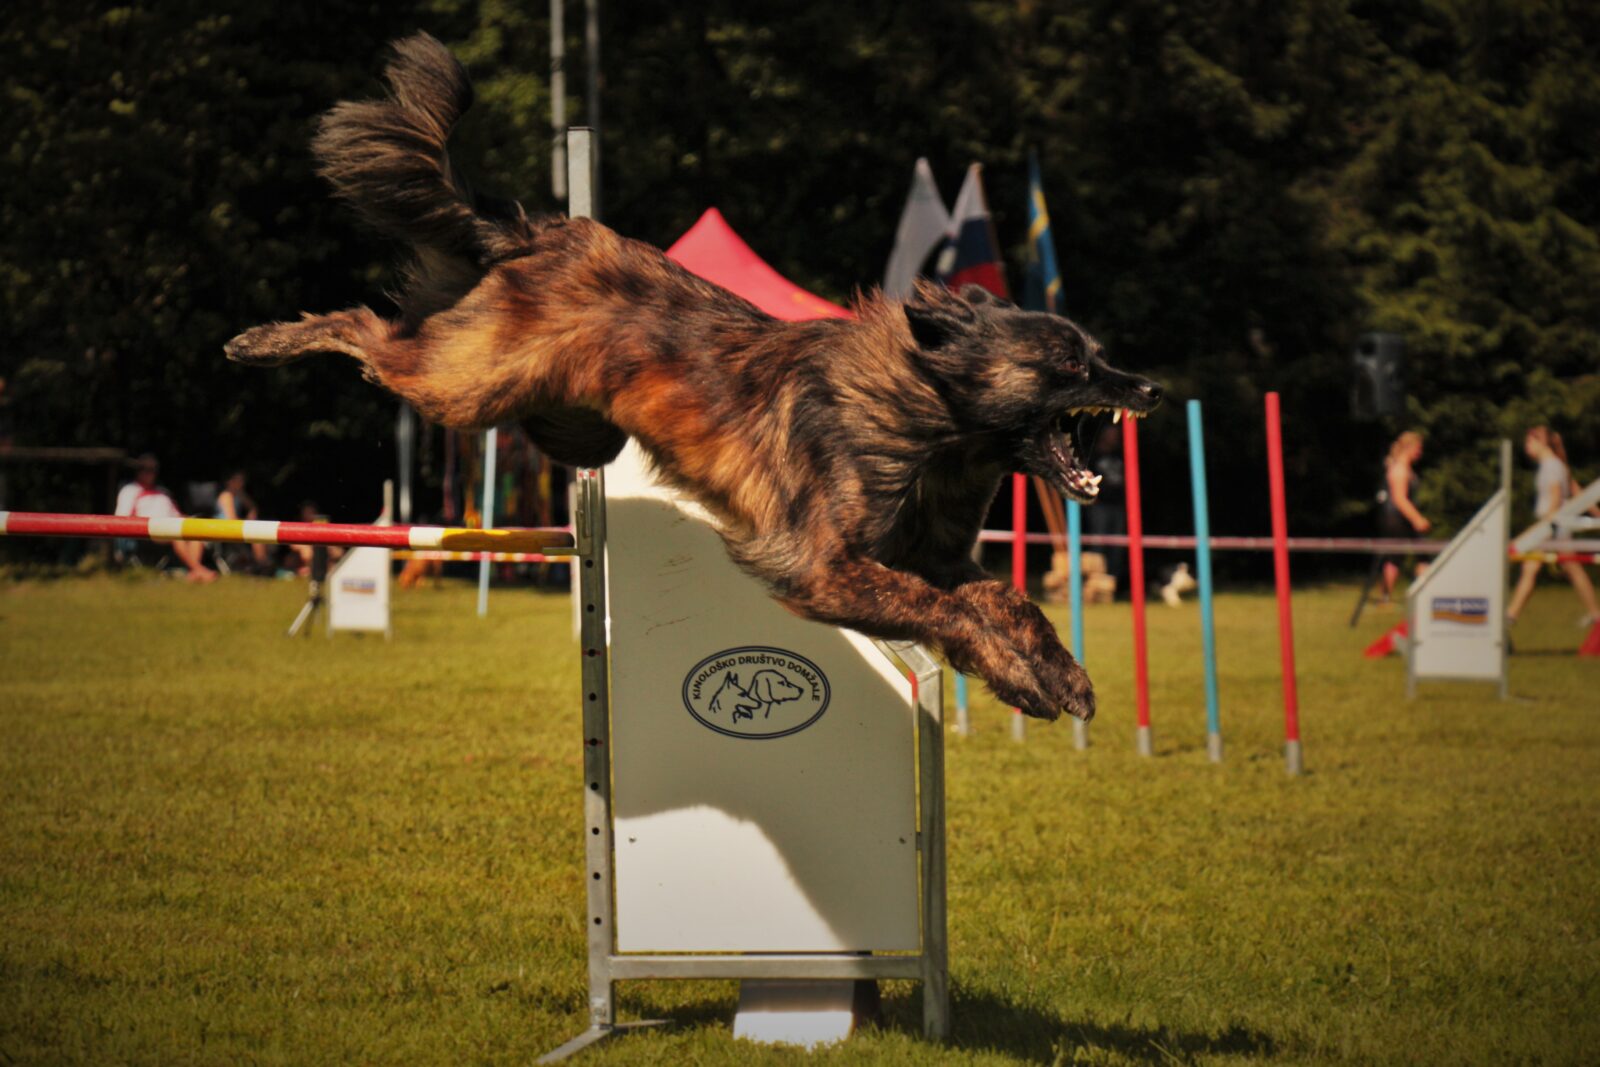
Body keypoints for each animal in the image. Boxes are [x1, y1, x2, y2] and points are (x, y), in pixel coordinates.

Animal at [226, 34, 1163, 721]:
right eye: (1072, 363)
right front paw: (1024, 677)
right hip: (463, 380)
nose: (1152, 390)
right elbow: (938, 606)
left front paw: (1054, 675)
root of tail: (536, 235)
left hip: (573, 423)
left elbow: (1009, 599)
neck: (931, 424)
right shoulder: (824, 565)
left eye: (1099, 354)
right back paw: (261, 338)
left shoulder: (932, 550)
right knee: (366, 328)